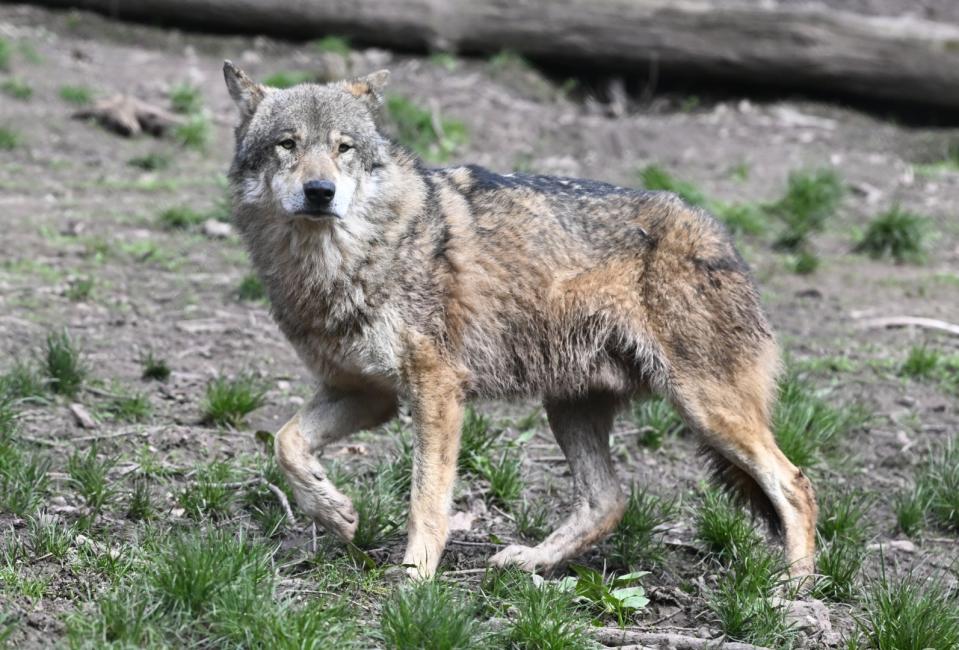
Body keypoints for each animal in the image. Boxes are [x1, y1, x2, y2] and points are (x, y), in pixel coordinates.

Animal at [225, 60, 816, 576]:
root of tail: (721, 236)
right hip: (570, 406)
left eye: (342, 148)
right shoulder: (367, 394)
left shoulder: (436, 391)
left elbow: (427, 500)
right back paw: (531, 561)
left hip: (705, 409)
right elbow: (286, 443)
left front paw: (414, 580)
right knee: (609, 500)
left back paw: (791, 594)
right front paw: (335, 511)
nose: (320, 192)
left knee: (795, 485)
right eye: (287, 144)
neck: (342, 261)